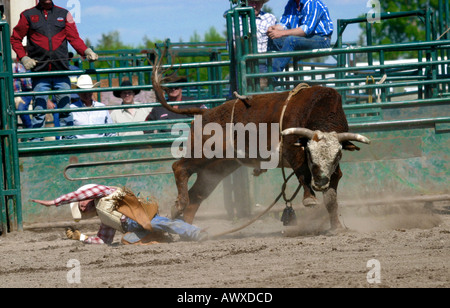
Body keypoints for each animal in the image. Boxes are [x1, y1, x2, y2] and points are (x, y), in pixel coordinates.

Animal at [150, 59, 370, 231]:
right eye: (308, 152)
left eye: (338, 155)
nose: (321, 181)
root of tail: (205, 112)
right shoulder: (292, 151)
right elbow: (303, 174)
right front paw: (309, 198)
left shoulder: (333, 171)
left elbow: (331, 197)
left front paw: (337, 227)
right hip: (204, 152)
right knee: (179, 167)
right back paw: (178, 206)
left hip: (219, 166)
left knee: (197, 194)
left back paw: (186, 228)